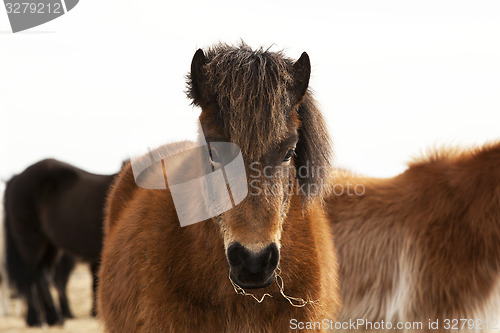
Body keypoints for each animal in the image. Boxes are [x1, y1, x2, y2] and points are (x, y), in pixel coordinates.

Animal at [3, 158, 117, 324]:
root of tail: (17, 177)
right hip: (30, 240)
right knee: (31, 275)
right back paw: (35, 319)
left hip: (50, 246)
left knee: (43, 274)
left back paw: (54, 317)